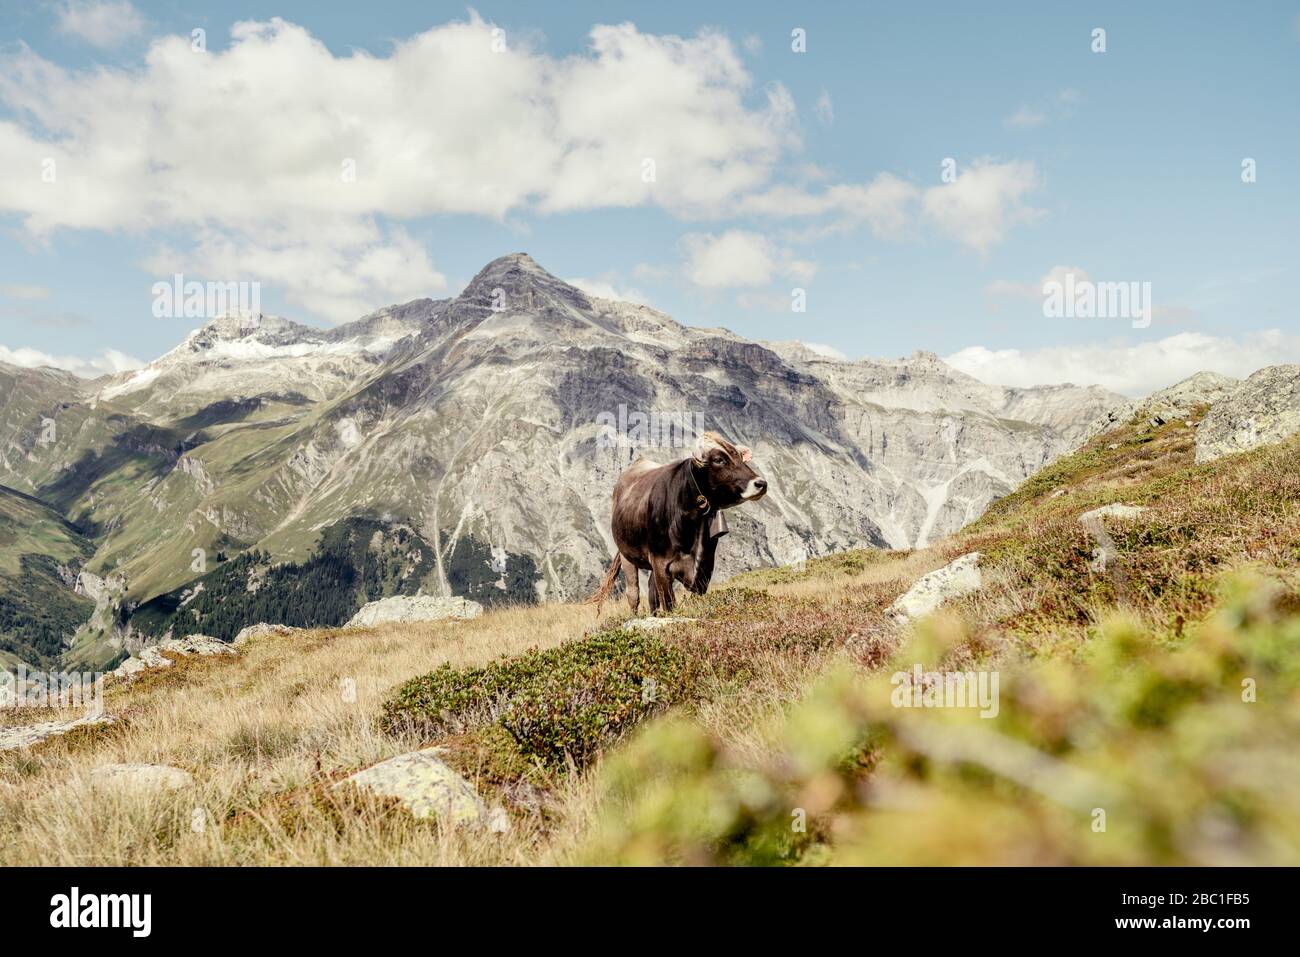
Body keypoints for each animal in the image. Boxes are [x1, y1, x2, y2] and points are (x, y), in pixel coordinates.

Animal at [589, 431, 768, 615]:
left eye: (740, 457)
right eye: (719, 460)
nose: (761, 483)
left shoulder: (705, 566)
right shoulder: (660, 563)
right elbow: (668, 603)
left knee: (651, 592)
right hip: (627, 556)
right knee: (633, 594)